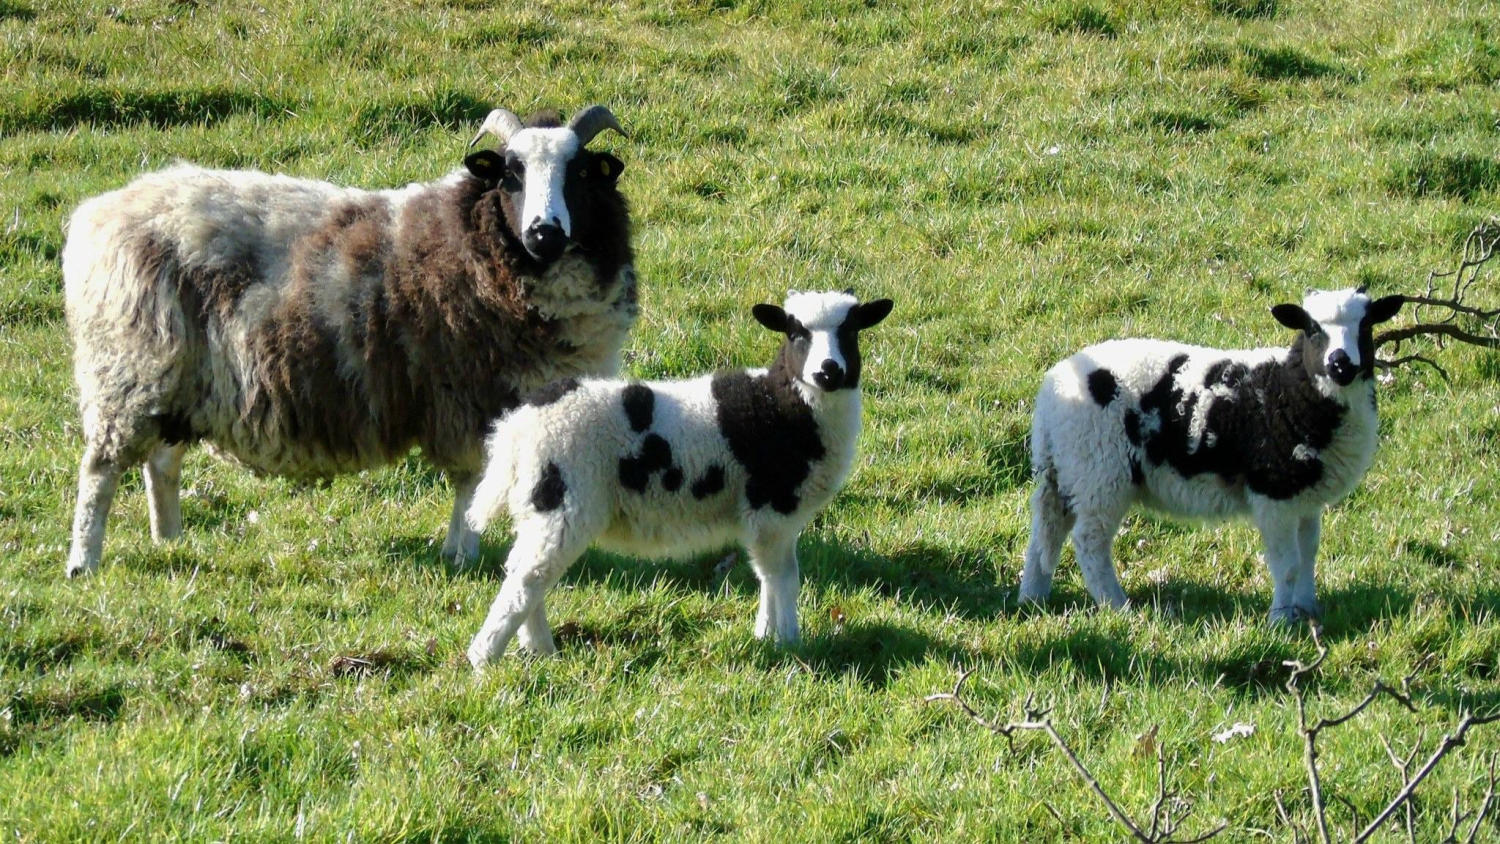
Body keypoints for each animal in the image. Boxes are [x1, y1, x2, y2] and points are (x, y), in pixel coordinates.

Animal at [62, 104, 637, 577]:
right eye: (511, 175)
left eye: (580, 174)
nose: (544, 232)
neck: (472, 243)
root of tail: (97, 214)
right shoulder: (470, 401)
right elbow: (471, 483)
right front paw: (463, 553)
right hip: (128, 369)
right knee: (100, 470)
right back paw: (84, 562)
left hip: (179, 379)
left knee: (161, 462)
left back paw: (170, 542)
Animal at [462, 290, 894, 667]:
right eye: (796, 333)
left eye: (851, 330)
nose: (828, 371)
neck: (782, 404)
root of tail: (516, 427)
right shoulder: (771, 507)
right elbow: (782, 577)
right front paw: (788, 641)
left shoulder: (771, 519)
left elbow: (770, 576)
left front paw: (767, 636)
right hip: (564, 498)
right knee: (528, 578)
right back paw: (484, 659)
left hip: (538, 503)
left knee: (525, 569)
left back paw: (539, 649)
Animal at [1018, 287, 1403, 623]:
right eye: (1311, 328)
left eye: (1366, 325)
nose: (1341, 364)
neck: (1290, 390)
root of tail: (1051, 390)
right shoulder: (1273, 492)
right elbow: (1287, 565)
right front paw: (1281, 620)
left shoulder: (1305, 496)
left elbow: (1308, 555)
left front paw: (1308, 609)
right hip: (1099, 471)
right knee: (1089, 542)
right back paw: (1118, 606)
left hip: (1066, 470)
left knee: (1045, 533)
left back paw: (1033, 598)